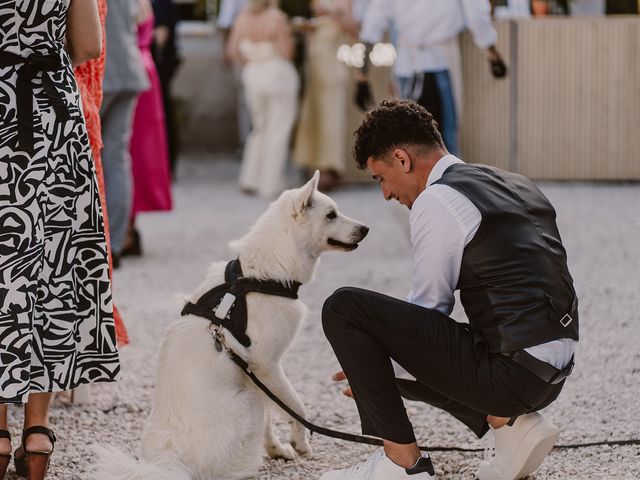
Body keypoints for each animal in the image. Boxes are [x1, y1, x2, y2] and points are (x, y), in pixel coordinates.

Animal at [96, 172, 370, 480]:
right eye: (331, 215)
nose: (365, 229)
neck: (262, 273)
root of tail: (170, 463)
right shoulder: (267, 367)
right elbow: (295, 406)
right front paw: (300, 443)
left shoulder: (255, 374)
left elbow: (273, 417)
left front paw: (278, 449)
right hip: (248, 400)